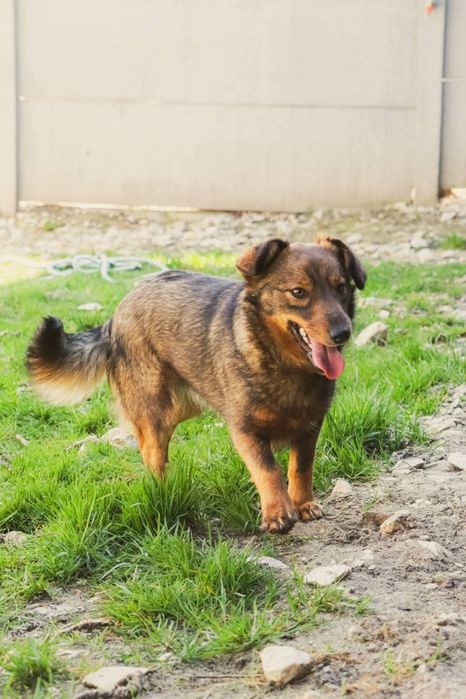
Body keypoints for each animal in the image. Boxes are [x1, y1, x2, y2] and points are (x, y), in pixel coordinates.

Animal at [26, 237, 366, 533]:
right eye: (298, 292)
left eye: (341, 287)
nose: (343, 333)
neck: (284, 364)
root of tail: (114, 316)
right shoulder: (245, 430)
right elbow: (268, 470)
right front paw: (277, 512)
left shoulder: (310, 427)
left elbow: (300, 467)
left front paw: (303, 503)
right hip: (155, 411)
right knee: (151, 451)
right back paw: (161, 491)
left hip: (182, 406)